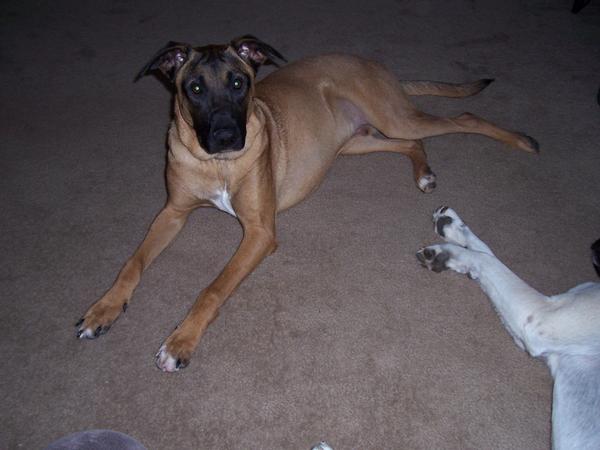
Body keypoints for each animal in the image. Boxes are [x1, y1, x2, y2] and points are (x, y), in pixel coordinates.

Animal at [76, 35, 539, 372]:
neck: (216, 164)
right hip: (356, 141)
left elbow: (212, 289)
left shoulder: (260, 233)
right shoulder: (171, 212)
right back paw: (424, 172)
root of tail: (372, 64)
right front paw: (102, 310)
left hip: (392, 117)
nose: (228, 136)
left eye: (239, 82)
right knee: (411, 143)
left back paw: (522, 141)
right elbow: (132, 263)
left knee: (462, 119)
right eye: (194, 88)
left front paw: (180, 342)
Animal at [417, 207, 600, 449]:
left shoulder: (539, 318)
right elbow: (487, 253)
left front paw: (442, 252)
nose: (594, 246)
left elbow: (484, 258)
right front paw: (451, 225)